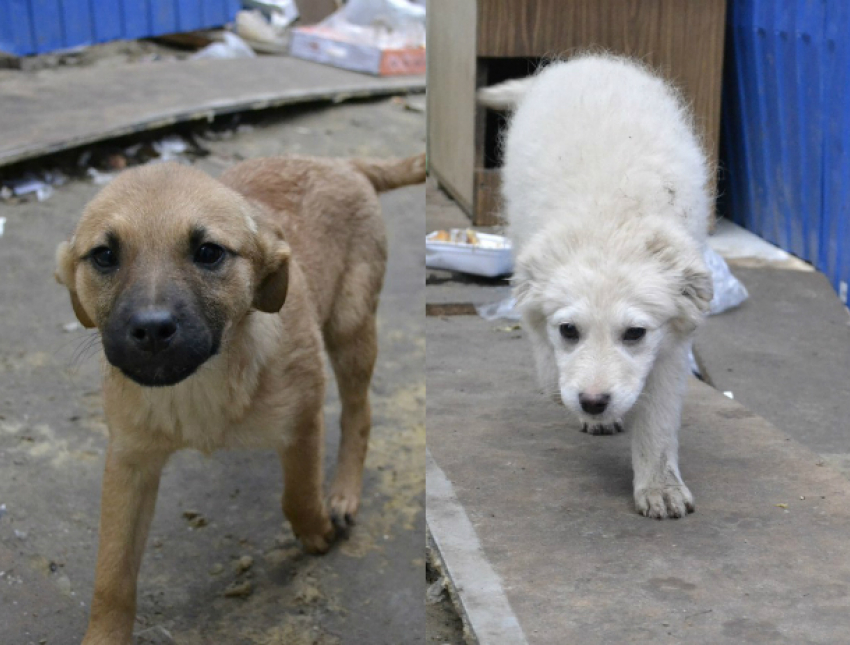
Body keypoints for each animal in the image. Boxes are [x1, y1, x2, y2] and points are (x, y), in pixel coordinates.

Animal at [53, 153, 424, 640]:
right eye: (104, 256)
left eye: (209, 252)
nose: (151, 329)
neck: (201, 384)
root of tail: (340, 162)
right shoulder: (129, 460)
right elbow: (112, 573)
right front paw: (103, 636)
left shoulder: (303, 417)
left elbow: (299, 492)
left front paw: (317, 530)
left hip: (351, 325)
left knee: (358, 413)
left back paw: (343, 493)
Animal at [494, 54, 712, 520]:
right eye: (569, 331)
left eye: (634, 333)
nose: (593, 402)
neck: (612, 221)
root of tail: (587, 60)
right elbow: (541, 334)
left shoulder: (670, 343)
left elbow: (658, 419)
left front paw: (660, 486)